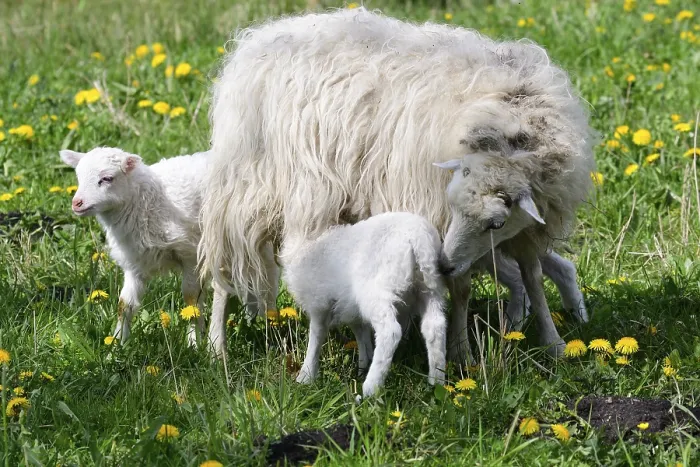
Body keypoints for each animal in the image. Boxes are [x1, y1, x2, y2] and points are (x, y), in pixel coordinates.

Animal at [59, 147, 280, 358]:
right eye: (78, 176)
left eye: (107, 178)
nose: (77, 203)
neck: (145, 203)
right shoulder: (135, 263)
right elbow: (125, 305)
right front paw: (116, 346)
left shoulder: (191, 255)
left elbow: (191, 300)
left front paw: (193, 344)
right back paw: (252, 318)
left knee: (267, 276)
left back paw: (268, 321)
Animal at [199, 7, 596, 360]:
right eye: (454, 206)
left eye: (496, 223)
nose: (446, 263)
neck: (507, 136)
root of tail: (257, 38)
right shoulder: (439, 217)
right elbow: (463, 289)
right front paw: (462, 352)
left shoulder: (526, 228)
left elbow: (532, 278)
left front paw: (554, 343)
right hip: (244, 189)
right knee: (222, 273)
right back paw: (215, 347)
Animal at [282, 212, 447, 398]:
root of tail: (419, 238)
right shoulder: (352, 311)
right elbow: (361, 335)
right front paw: (362, 365)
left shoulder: (318, 303)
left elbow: (316, 337)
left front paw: (306, 376)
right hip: (429, 287)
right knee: (435, 327)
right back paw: (436, 382)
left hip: (376, 292)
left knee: (390, 332)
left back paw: (371, 388)